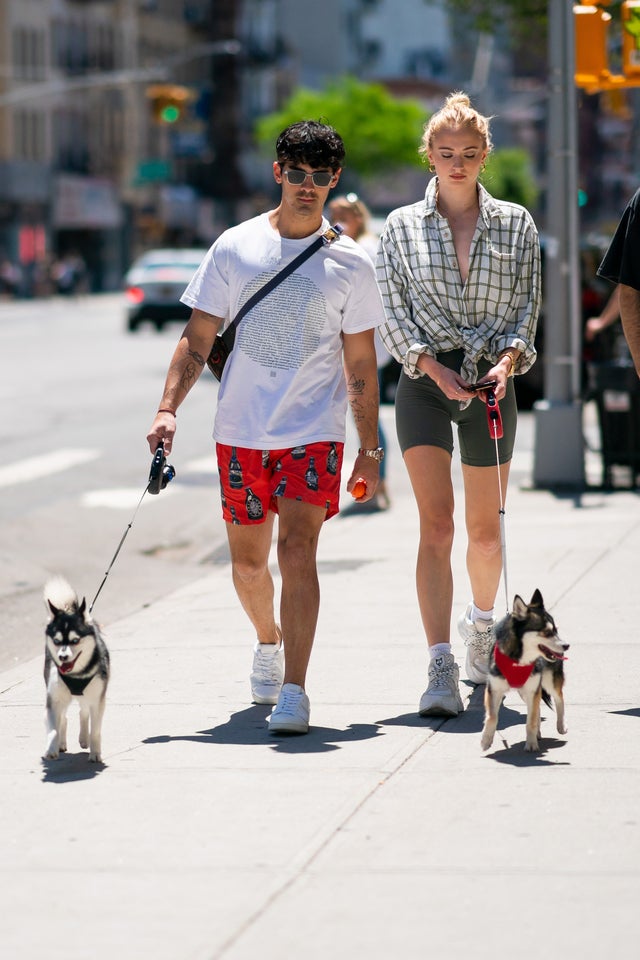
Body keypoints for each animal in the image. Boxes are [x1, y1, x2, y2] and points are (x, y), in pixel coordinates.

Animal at [43, 576, 109, 764]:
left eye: (75, 640)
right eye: (57, 641)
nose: (63, 657)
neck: (76, 674)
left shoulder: (97, 699)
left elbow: (95, 730)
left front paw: (95, 752)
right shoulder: (54, 698)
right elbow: (54, 727)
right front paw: (52, 747)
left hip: (88, 695)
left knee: (83, 711)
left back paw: (84, 739)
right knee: (64, 718)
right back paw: (61, 743)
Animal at [482, 588, 568, 752]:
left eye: (556, 630)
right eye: (547, 632)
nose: (566, 645)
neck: (518, 660)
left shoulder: (533, 690)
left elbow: (531, 720)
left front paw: (531, 743)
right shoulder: (494, 690)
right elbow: (492, 716)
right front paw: (486, 740)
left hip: (549, 681)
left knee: (559, 698)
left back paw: (561, 725)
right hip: (525, 692)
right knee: (538, 708)